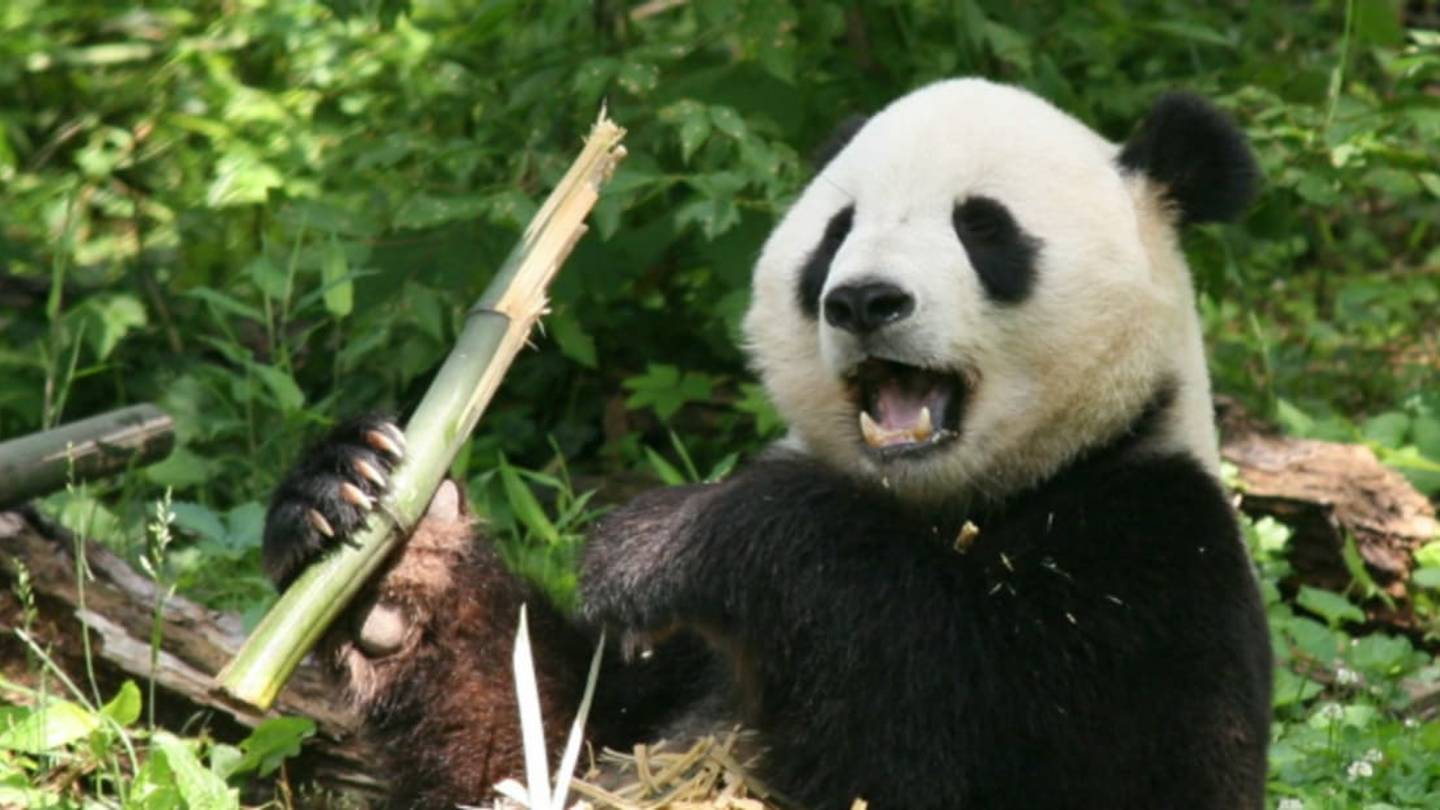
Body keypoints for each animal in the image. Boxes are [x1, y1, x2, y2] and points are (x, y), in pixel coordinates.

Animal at [262, 78, 1272, 810]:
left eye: (984, 227)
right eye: (835, 234)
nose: (864, 300)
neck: (953, 501)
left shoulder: (1152, 553)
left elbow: (957, 731)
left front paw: (659, 544)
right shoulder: (674, 671)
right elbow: (540, 742)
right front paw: (381, 533)